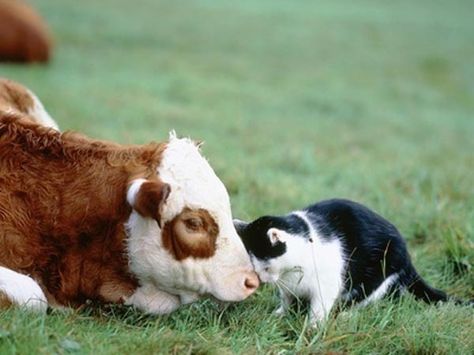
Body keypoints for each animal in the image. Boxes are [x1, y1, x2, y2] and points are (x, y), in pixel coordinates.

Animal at [233, 199, 466, 326]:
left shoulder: (326, 286)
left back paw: (347, 314)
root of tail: (408, 258)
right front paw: (280, 314)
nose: (260, 279)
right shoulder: (288, 288)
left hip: (379, 274)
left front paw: (313, 327)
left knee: (371, 299)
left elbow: (319, 309)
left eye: (261, 266)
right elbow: (287, 300)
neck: (291, 271)